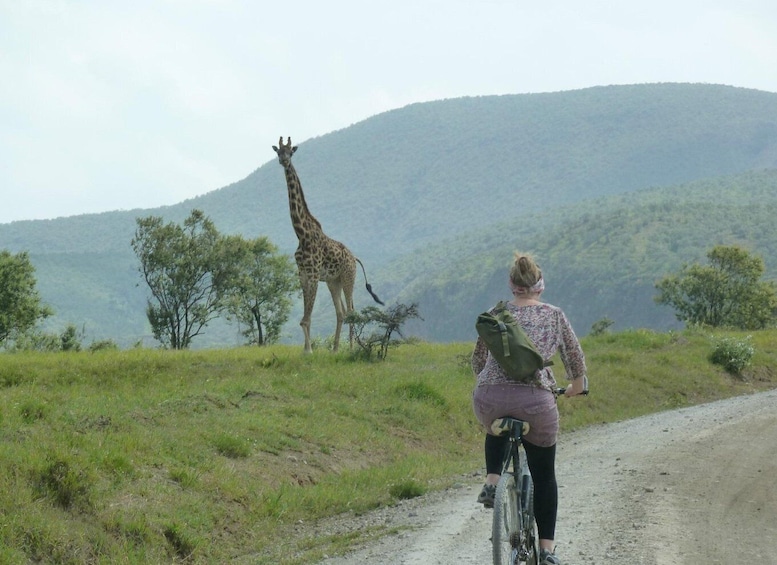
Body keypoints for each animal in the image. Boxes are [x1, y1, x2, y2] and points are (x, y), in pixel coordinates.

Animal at [272, 137, 384, 352]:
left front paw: (309, 350)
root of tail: (354, 258)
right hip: (334, 281)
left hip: (348, 277)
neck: (301, 233)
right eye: (278, 152)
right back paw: (335, 348)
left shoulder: (314, 274)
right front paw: (306, 349)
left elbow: (306, 318)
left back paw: (351, 348)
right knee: (341, 312)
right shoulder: (303, 274)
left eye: (291, 152)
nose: (284, 161)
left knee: (351, 310)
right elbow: (305, 318)